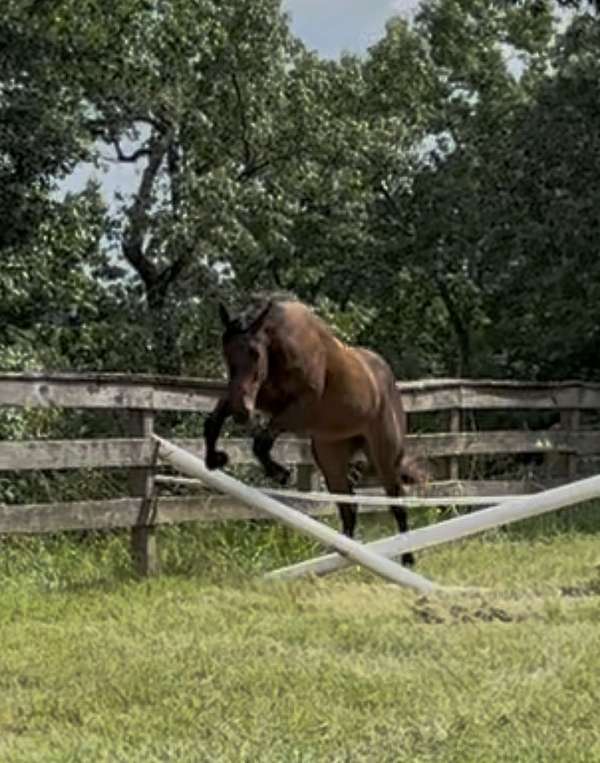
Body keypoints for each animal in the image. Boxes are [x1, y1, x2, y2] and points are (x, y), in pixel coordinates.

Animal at [203, 295, 419, 565]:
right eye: (227, 353)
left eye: (254, 353)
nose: (242, 412)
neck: (278, 349)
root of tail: (386, 377)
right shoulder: (257, 398)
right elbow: (214, 422)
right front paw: (214, 459)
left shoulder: (299, 409)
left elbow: (262, 441)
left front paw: (281, 474)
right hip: (330, 457)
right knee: (348, 506)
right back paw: (344, 556)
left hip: (384, 455)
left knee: (397, 502)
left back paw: (407, 558)